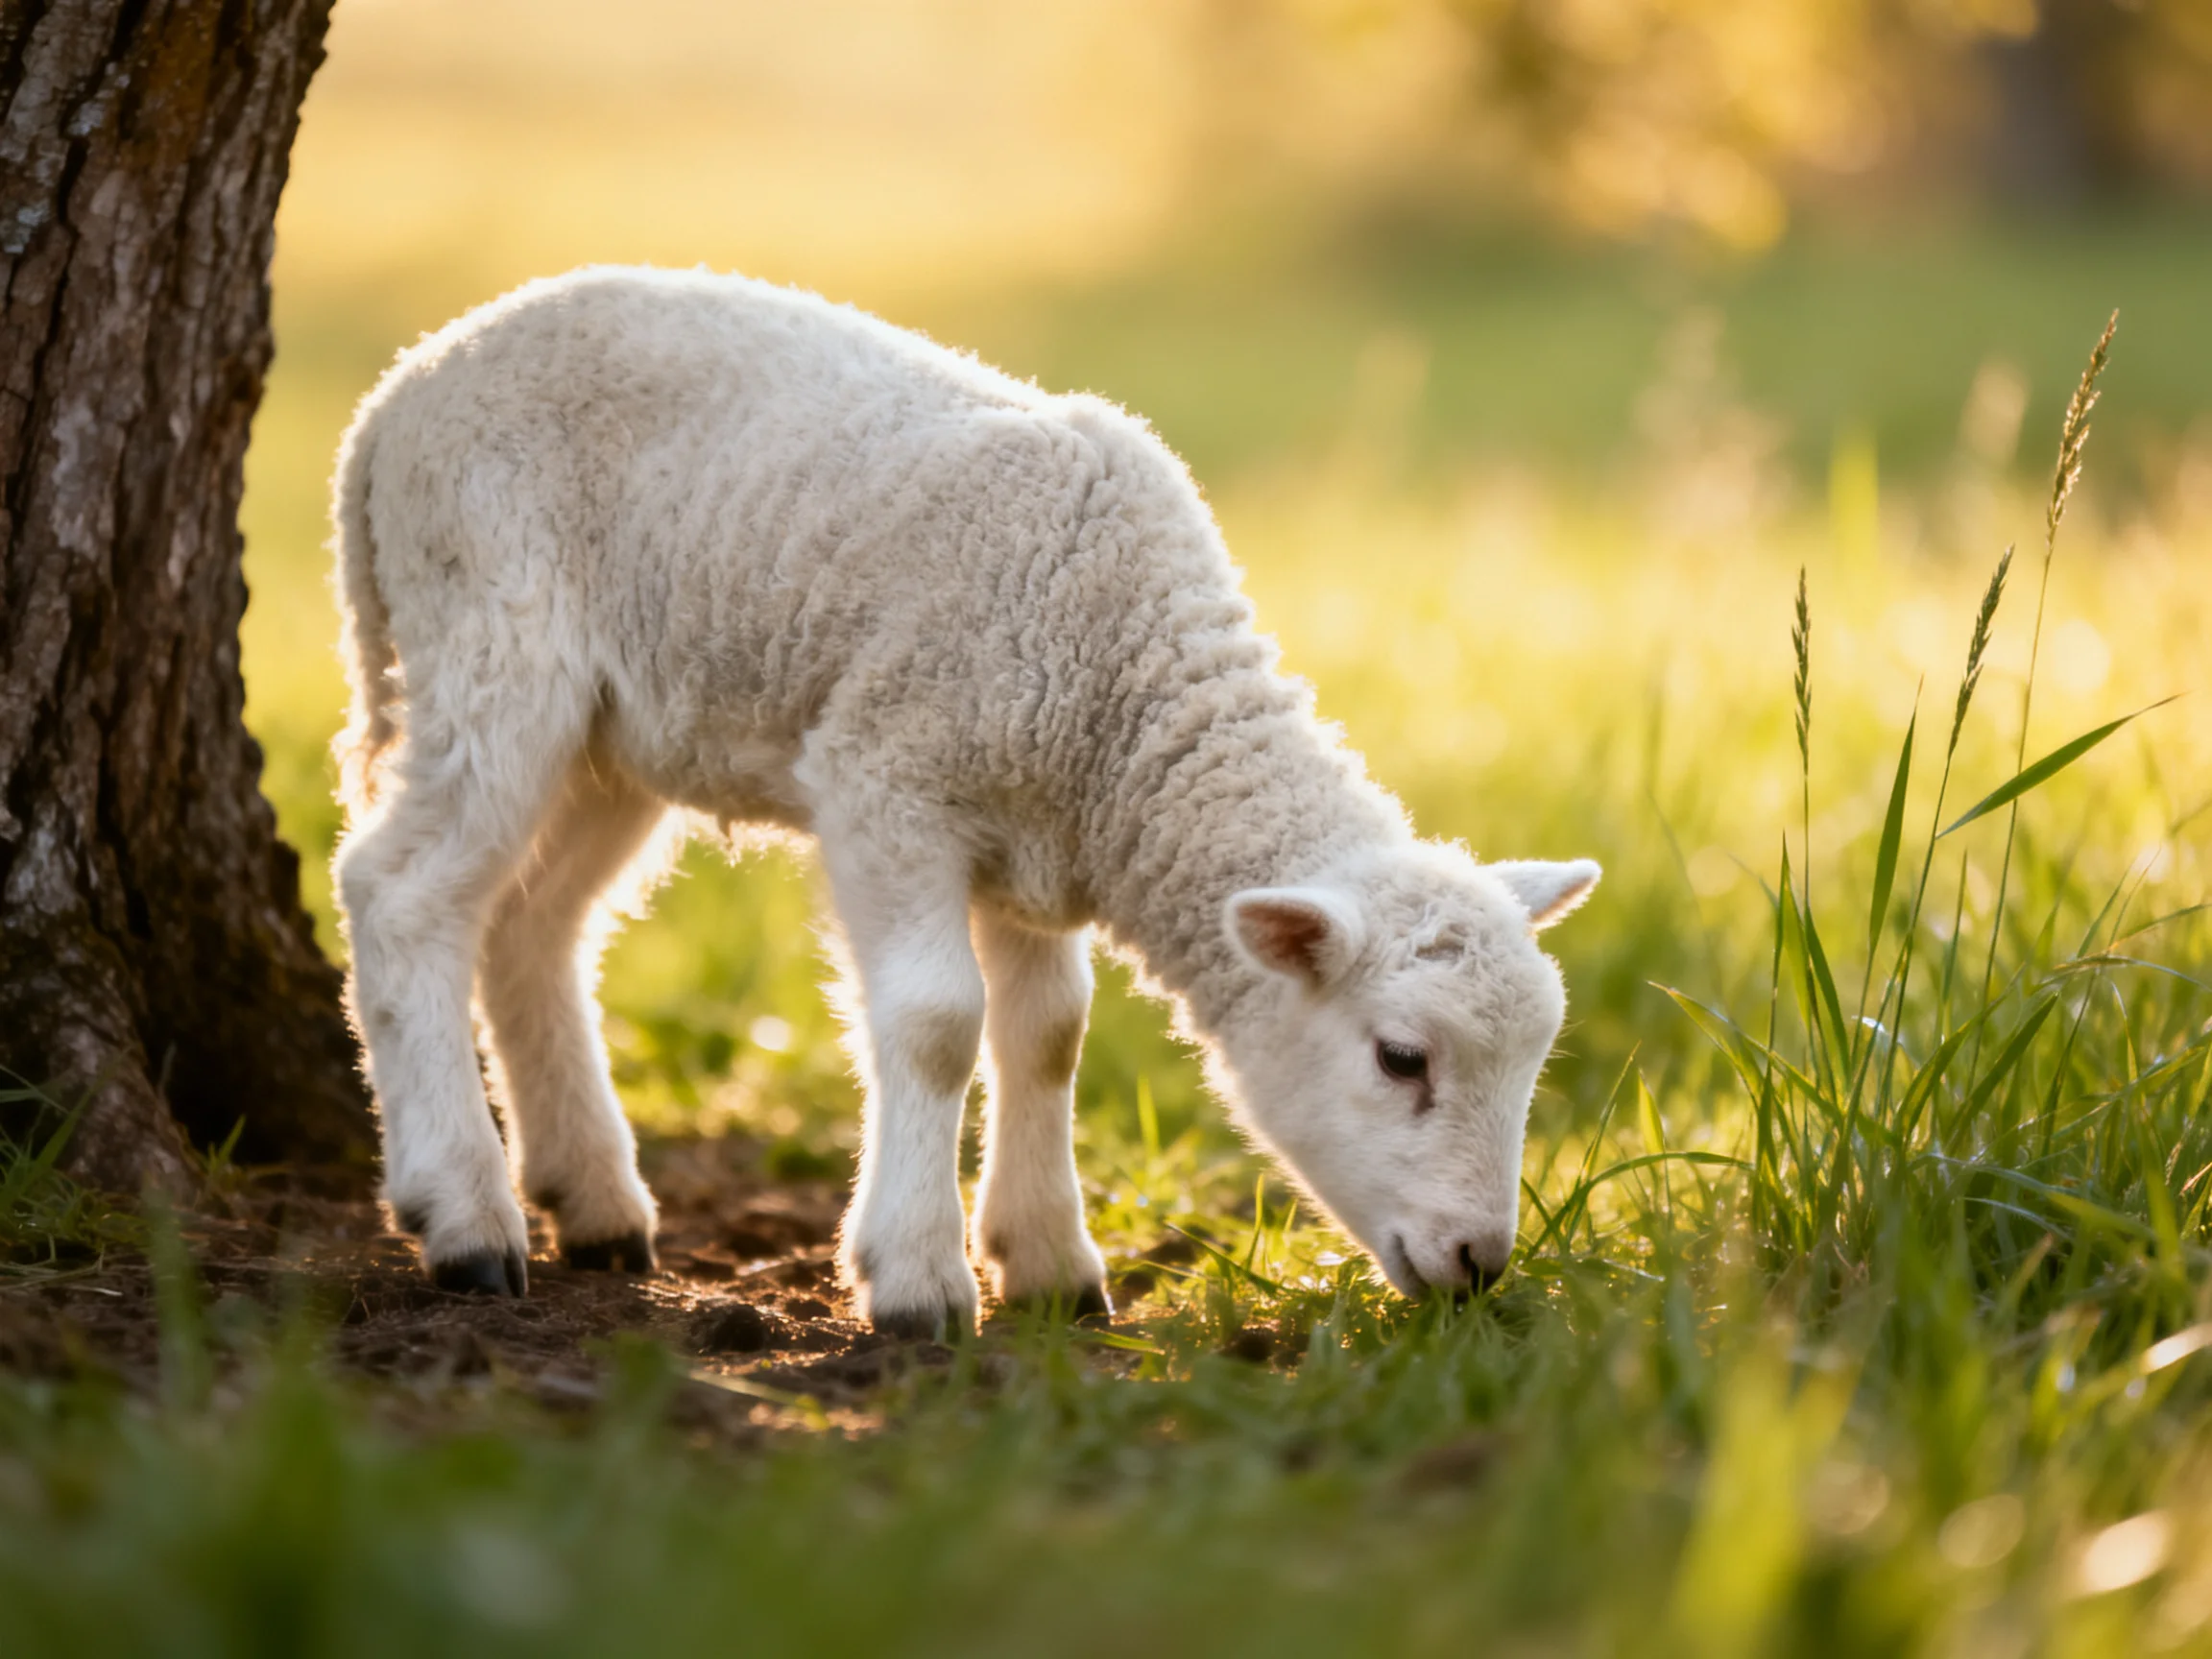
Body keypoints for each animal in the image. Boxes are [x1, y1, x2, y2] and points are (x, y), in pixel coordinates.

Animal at [330, 265, 1599, 1336]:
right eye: (1401, 1058)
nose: (1480, 1263)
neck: (1121, 710)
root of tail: (396, 395)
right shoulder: (889, 783)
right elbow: (940, 1025)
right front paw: (918, 1280)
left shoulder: (1036, 846)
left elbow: (1048, 1036)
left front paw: (1049, 1266)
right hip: (490, 637)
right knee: (400, 892)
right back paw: (464, 1215)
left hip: (617, 734)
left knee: (531, 924)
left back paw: (592, 1201)